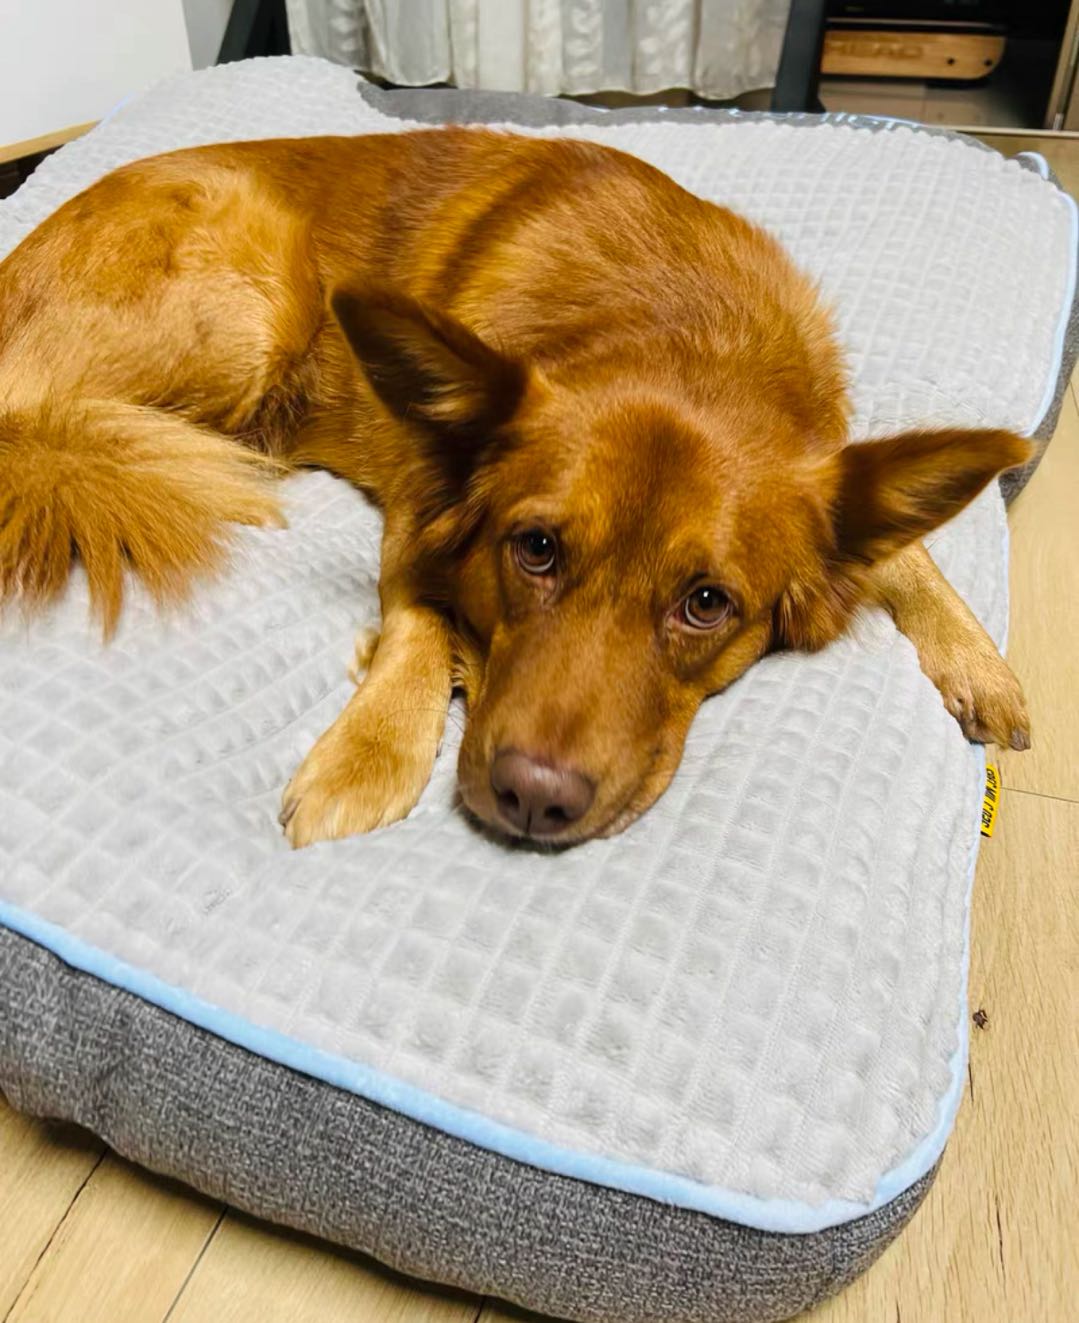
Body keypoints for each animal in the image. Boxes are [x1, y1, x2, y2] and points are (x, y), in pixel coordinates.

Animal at [0, 126, 1026, 846]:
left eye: (706, 604)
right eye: (533, 549)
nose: (533, 802)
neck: (682, 329)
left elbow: (905, 548)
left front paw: (977, 659)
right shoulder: (422, 503)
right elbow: (416, 617)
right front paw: (369, 754)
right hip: (253, 308)